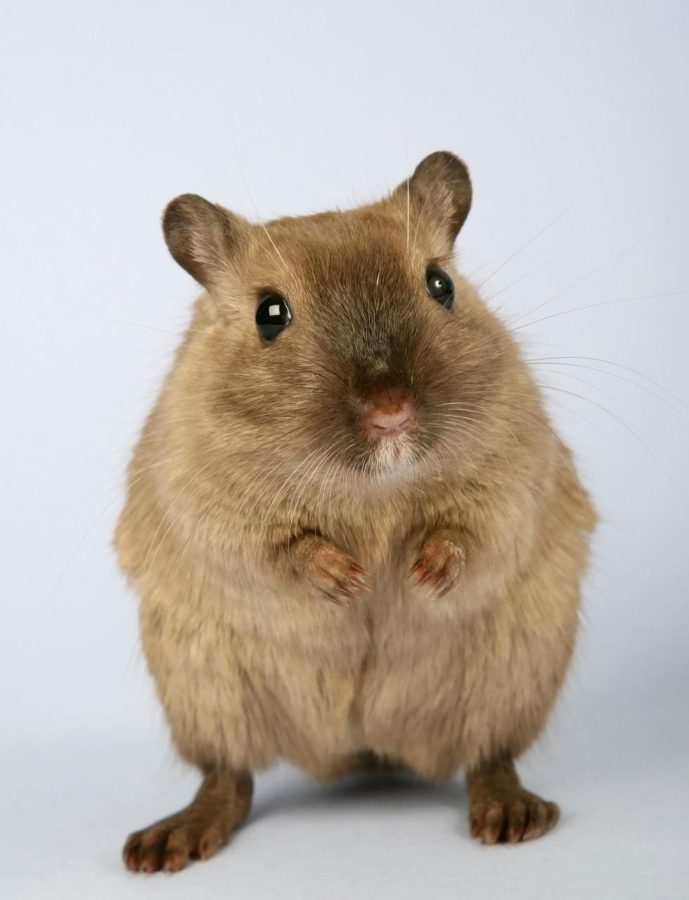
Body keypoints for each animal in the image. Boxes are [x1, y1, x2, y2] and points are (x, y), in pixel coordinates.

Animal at [116, 151, 596, 873]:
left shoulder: (515, 468)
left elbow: (474, 527)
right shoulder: (204, 501)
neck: (371, 486)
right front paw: (347, 580)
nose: (391, 412)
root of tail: (363, 747)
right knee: (228, 774)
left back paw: (511, 814)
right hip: (204, 691)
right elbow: (274, 548)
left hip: (511, 677)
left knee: (489, 755)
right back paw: (167, 843)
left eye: (440, 284)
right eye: (269, 313)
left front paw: (423, 573)